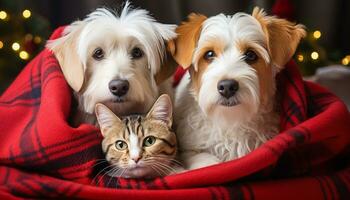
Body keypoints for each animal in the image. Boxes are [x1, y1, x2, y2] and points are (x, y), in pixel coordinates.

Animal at [172, 8, 306, 170]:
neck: (231, 120)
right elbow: (202, 159)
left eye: (251, 55)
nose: (227, 86)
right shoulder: (188, 149)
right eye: (209, 54)